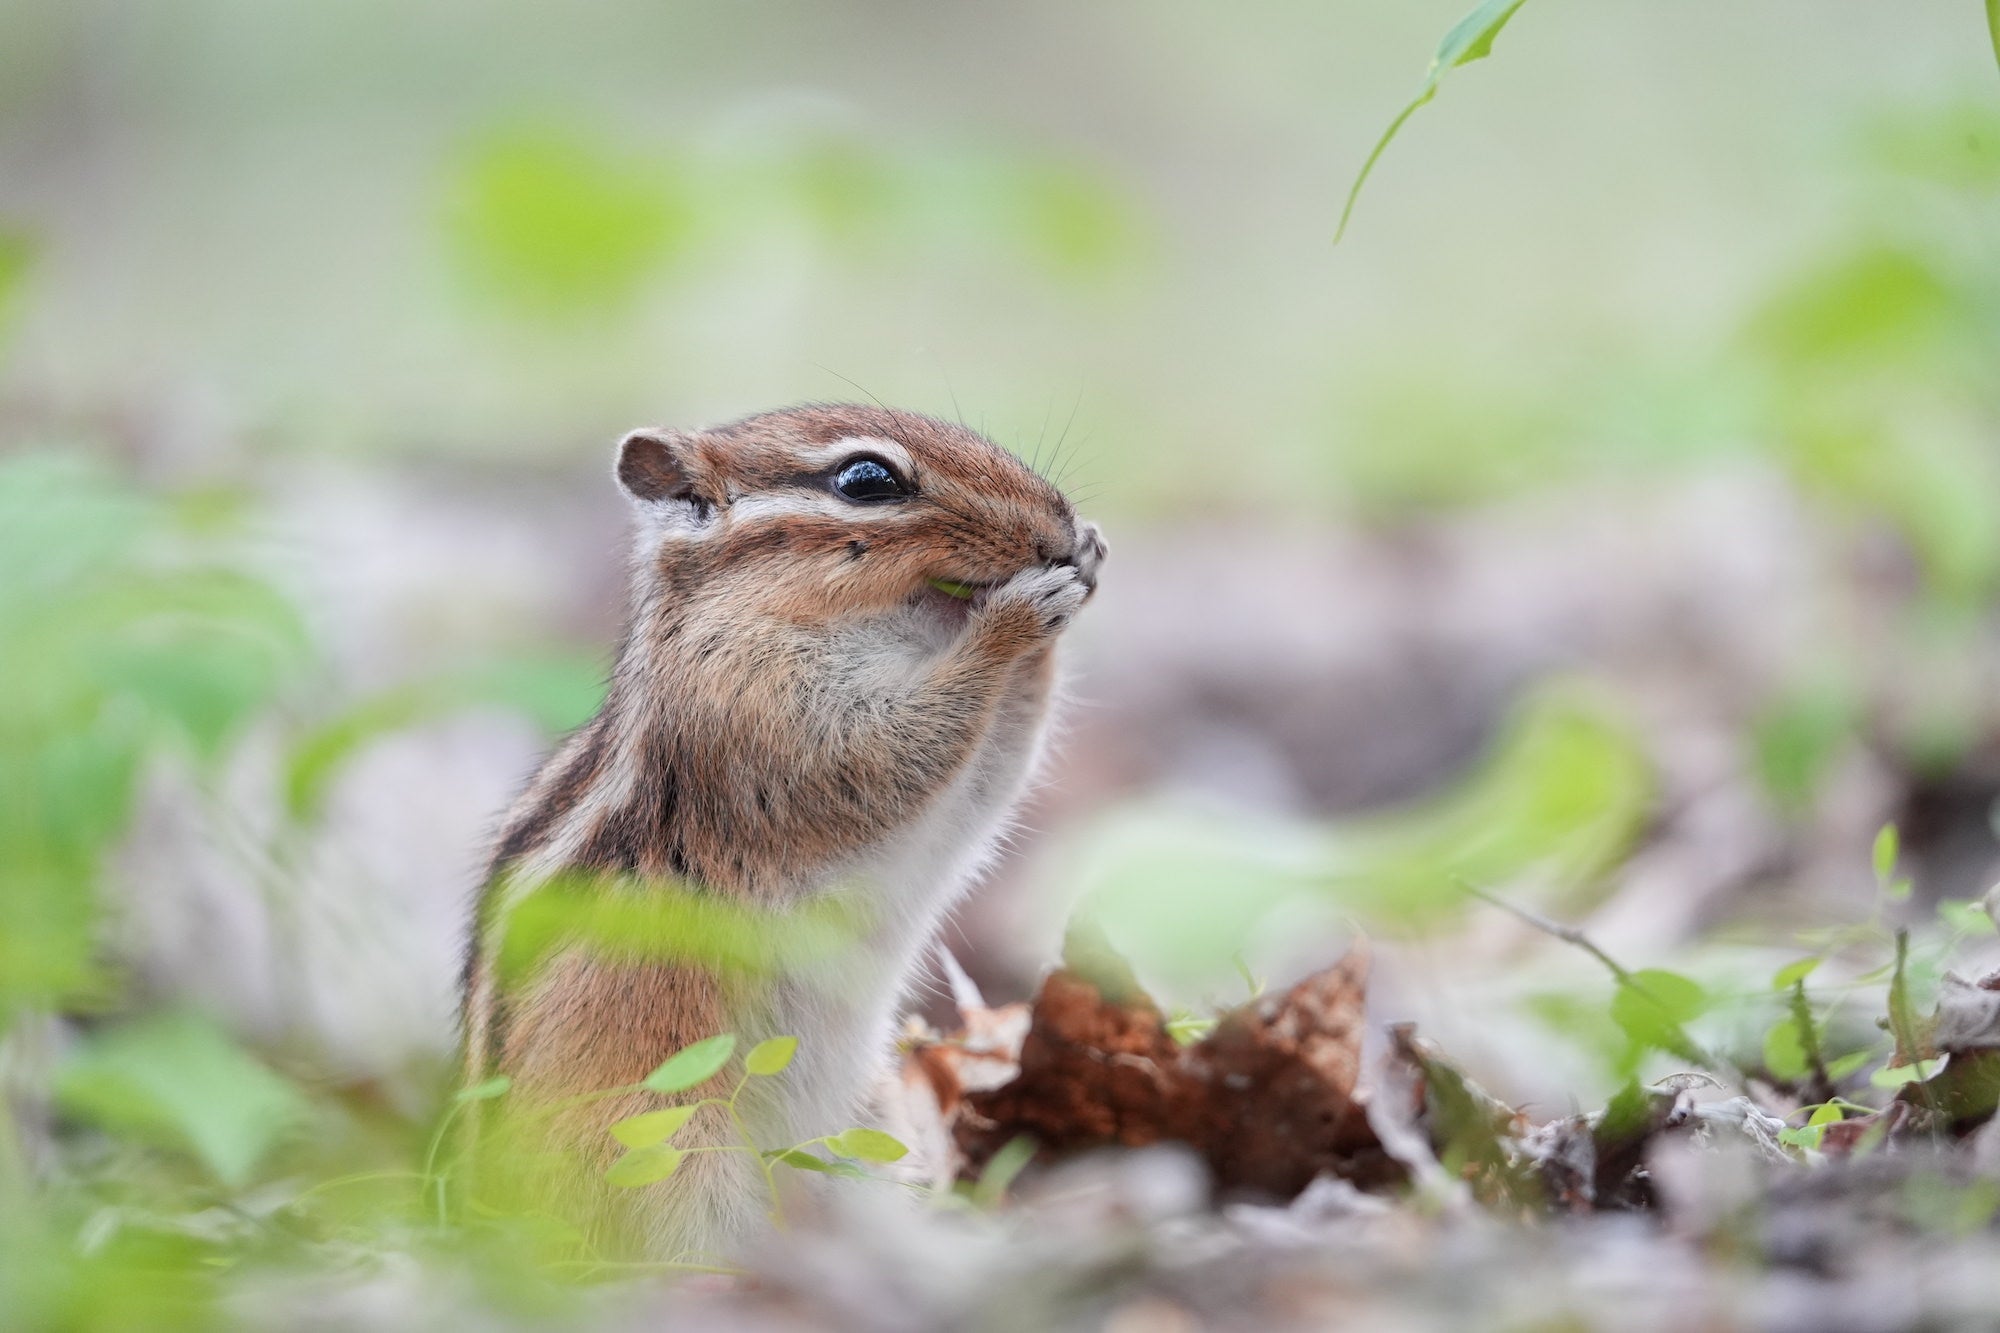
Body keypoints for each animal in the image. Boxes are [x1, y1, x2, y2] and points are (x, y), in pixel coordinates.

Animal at [459, 403, 1104, 1258]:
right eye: (867, 480)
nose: (1057, 524)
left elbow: (991, 770)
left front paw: (1084, 562)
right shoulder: (761, 713)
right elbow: (897, 748)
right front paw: (1017, 616)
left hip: (869, 1126)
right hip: (670, 1144)